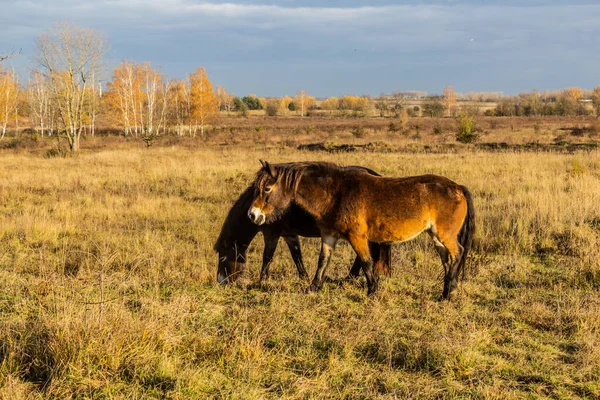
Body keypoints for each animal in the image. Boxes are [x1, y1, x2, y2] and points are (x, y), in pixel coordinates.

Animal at [216, 174, 394, 284]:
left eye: (223, 257)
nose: (221, 281)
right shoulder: (289, 234)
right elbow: (296, 255)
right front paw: (304, 277)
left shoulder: (271, 234)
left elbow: (267, 257)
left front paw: (262, 280)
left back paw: (352, 276)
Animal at [247, 161, 474, 298]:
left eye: (266, 188)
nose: (252, 214)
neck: (336, 193)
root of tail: (458, 187)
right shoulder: (328, 236)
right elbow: (323, 261)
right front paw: (313, 287)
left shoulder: (357, 237)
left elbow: (366, 262)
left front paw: (372, 290)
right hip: (436, 236)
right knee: (447, 260)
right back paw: (447, 291)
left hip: (445, 235)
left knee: (457, 254)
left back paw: (447, 294)